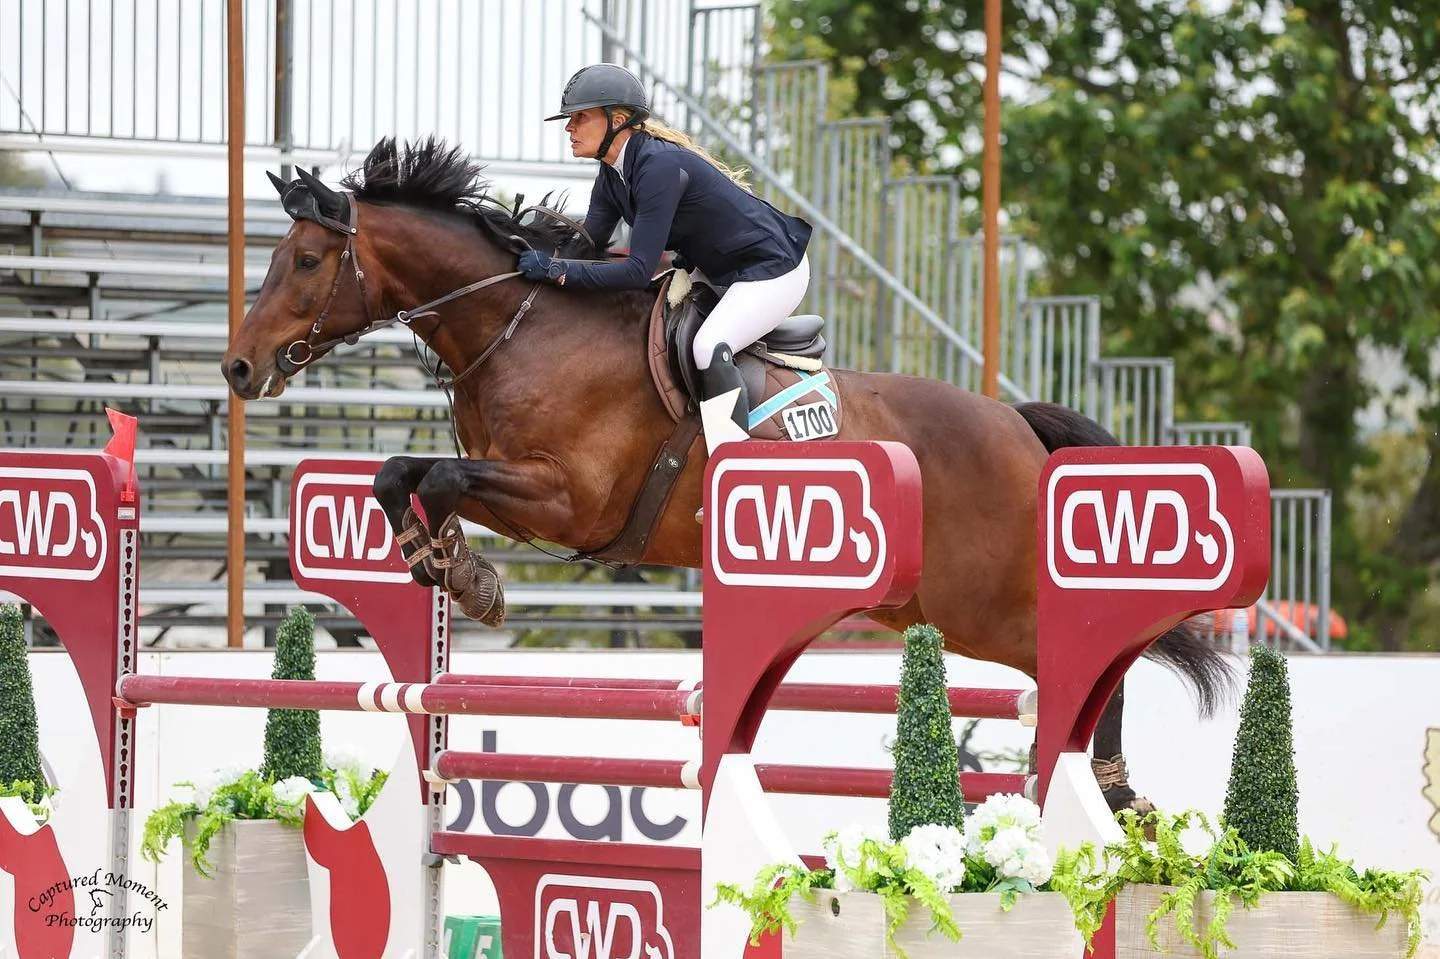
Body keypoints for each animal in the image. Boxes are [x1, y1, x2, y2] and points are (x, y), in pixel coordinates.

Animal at [221, 136, 1232, 815]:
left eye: (305, 261)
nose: (238, 368)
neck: (518, 326)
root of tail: (1013, 420)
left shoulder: (568, 498)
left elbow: (435, 479)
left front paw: (466, 576)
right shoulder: (518, 484)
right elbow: (404, 473)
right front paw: (439, 560)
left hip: (987, 602)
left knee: (1093, 664)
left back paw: (1113, 790)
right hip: (932, 607)